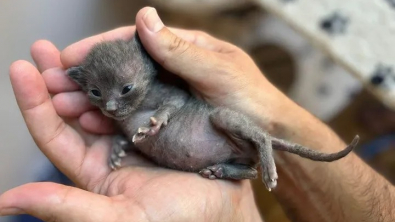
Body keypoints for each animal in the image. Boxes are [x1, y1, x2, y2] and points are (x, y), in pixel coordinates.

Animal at [67, 33, 358, 191]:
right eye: (95, 92)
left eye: (126, 88)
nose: (110, 108)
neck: (134, 109)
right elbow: (125, 137)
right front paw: (117, 149)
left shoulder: (175, 94)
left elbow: (169, 107)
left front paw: (155, 123)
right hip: (242, 157)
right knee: (250, 172)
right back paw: (220, 171)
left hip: (225, 118)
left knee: (262, 137)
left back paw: (268, 170)